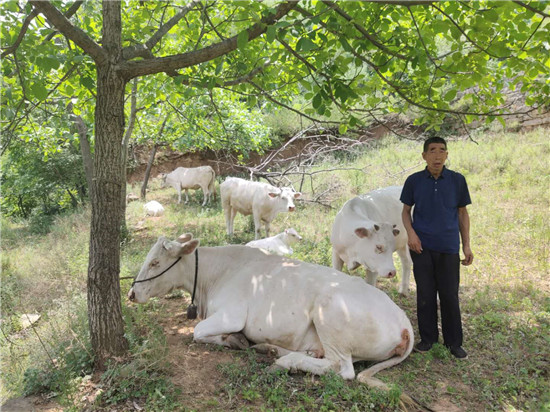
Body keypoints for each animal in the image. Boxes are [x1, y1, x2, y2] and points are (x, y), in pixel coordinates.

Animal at [128, 233, 414, 392]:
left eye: (155, 262)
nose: (131, 294)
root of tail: (403, 321)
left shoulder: (232, 315)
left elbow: (197, 331)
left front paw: (234, 339)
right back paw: (273, 349)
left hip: (330, 313)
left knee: (342, 368)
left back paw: (286, 361)